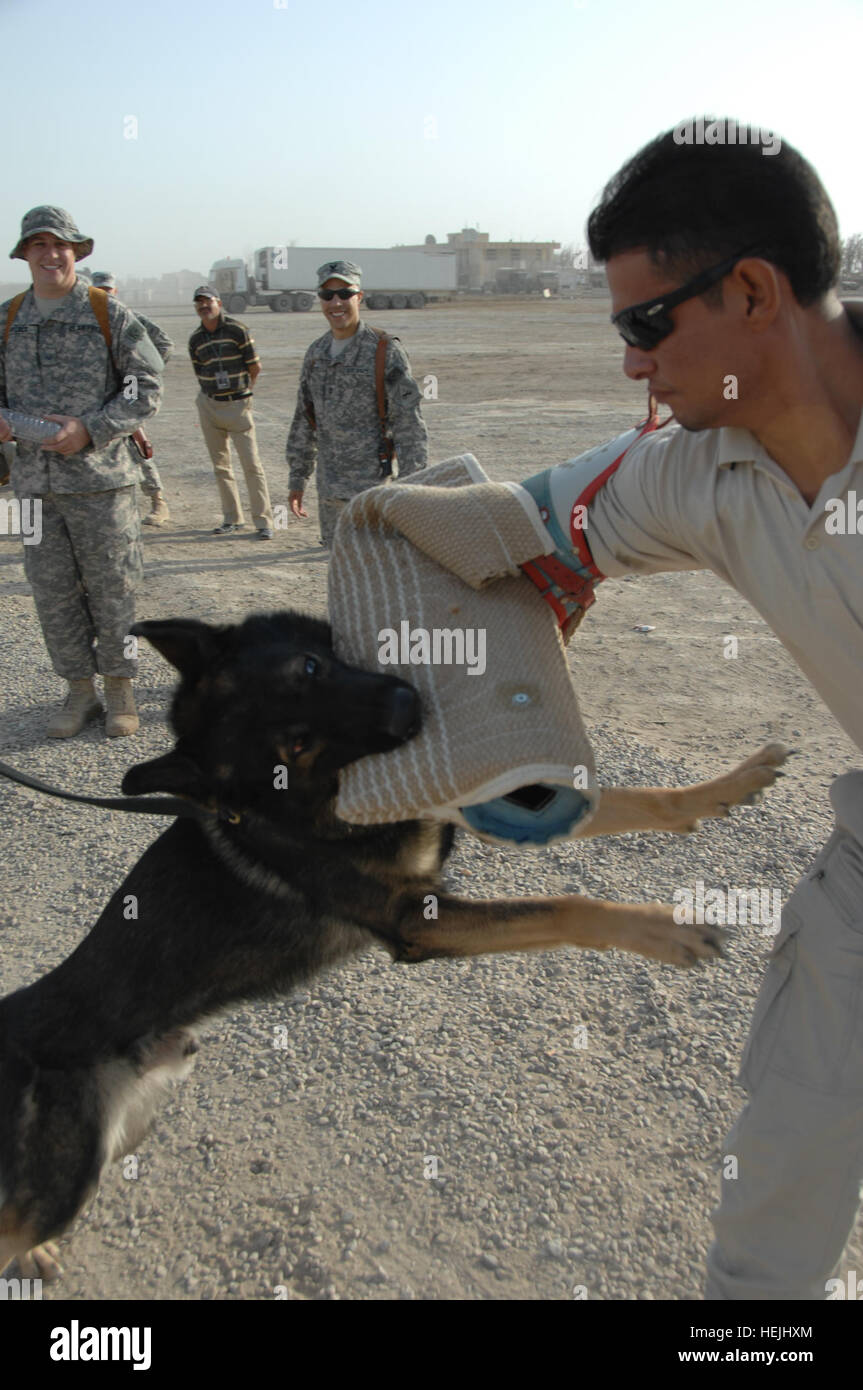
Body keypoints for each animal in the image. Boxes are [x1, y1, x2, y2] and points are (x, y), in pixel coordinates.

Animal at [0, 611, 789, 1278]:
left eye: (312, 666)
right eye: (296, 744)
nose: (408, 706)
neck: (302, 801)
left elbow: (635, 801)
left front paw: (728, 785)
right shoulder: (420, 921)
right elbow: (567, 904)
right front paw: (667, 929)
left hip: (136, 1118)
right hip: (69, 1176)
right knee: (19, 1226)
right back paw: (33, 1257)